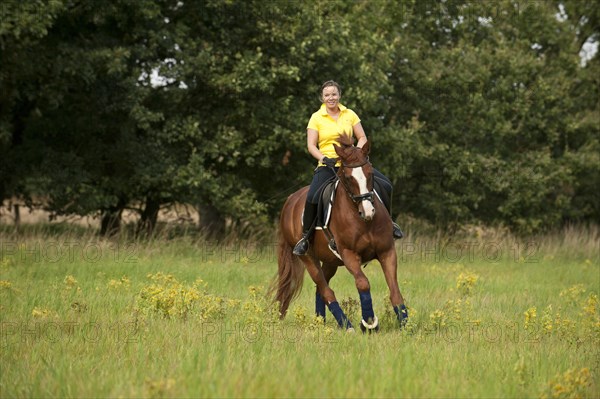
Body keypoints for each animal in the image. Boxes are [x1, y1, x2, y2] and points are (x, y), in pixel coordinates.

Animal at [274, 136, 408, 332]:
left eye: (370, 173)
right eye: (348, 177)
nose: (368, 212)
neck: (363, 221)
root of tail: (290, 200)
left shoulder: (387, 252)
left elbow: (395, 289)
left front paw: (405, 324)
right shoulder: (349, 254)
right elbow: (363, 283)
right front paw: (369, 323)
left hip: (330, 261)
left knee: (320, 289)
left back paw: (320, 321)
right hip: (308, 258)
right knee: (325, 289)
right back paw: (347, 325)